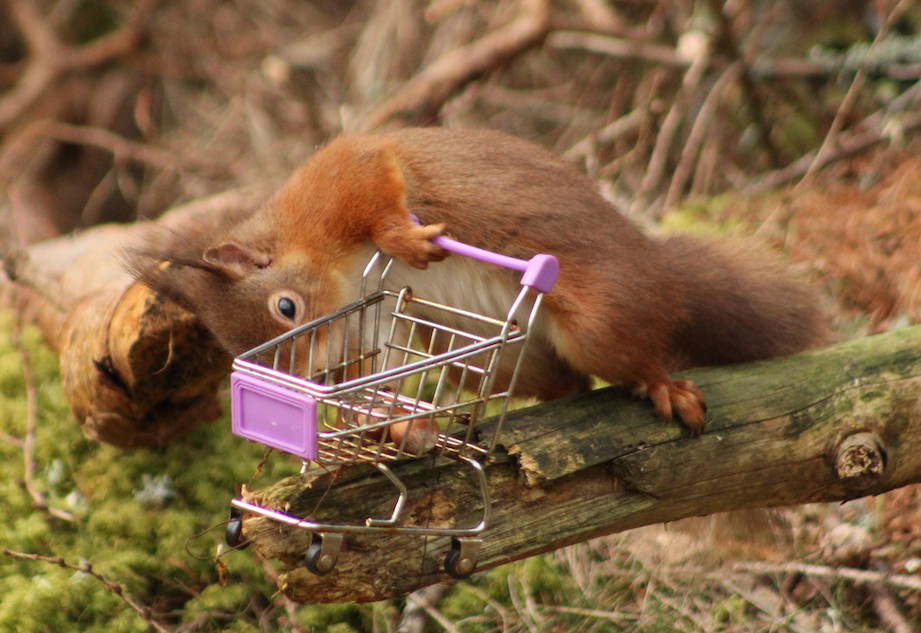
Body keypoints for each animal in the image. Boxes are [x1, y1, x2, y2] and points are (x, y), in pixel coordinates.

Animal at [128, 127, 826, 435]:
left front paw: (404, 238)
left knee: (628, 354)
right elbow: (367, 379)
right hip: (479, 354)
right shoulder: (364, 332)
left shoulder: (343, 180)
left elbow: (377, 193)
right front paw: (390, 421)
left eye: (286, 307)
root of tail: (656, 265)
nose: (302, 382)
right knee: (565, 384)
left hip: (602, 318)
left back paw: (663, 384)